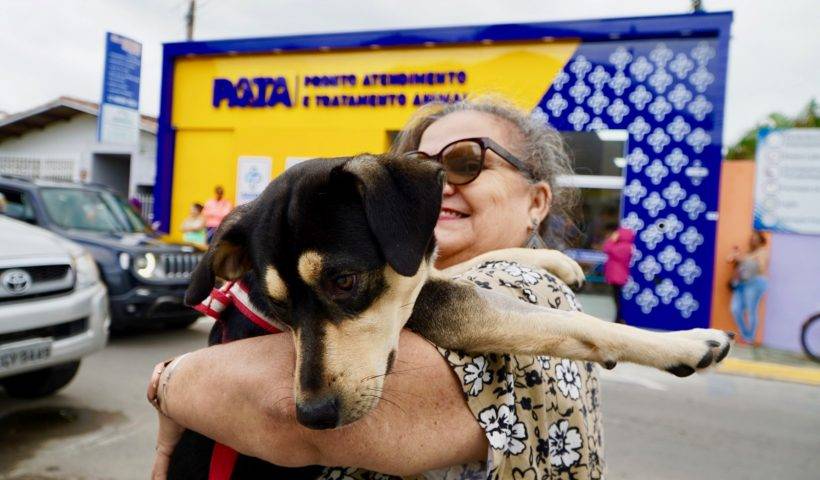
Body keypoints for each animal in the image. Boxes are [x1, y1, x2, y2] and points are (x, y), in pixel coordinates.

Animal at [170, 153, 732, 476]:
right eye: (279, 307)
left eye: (344, 281)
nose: (313, 416)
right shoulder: (444, 309)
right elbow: (564, 324)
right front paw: (685, 343)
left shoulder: (425, 283)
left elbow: (460, 260)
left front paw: (556, 260)